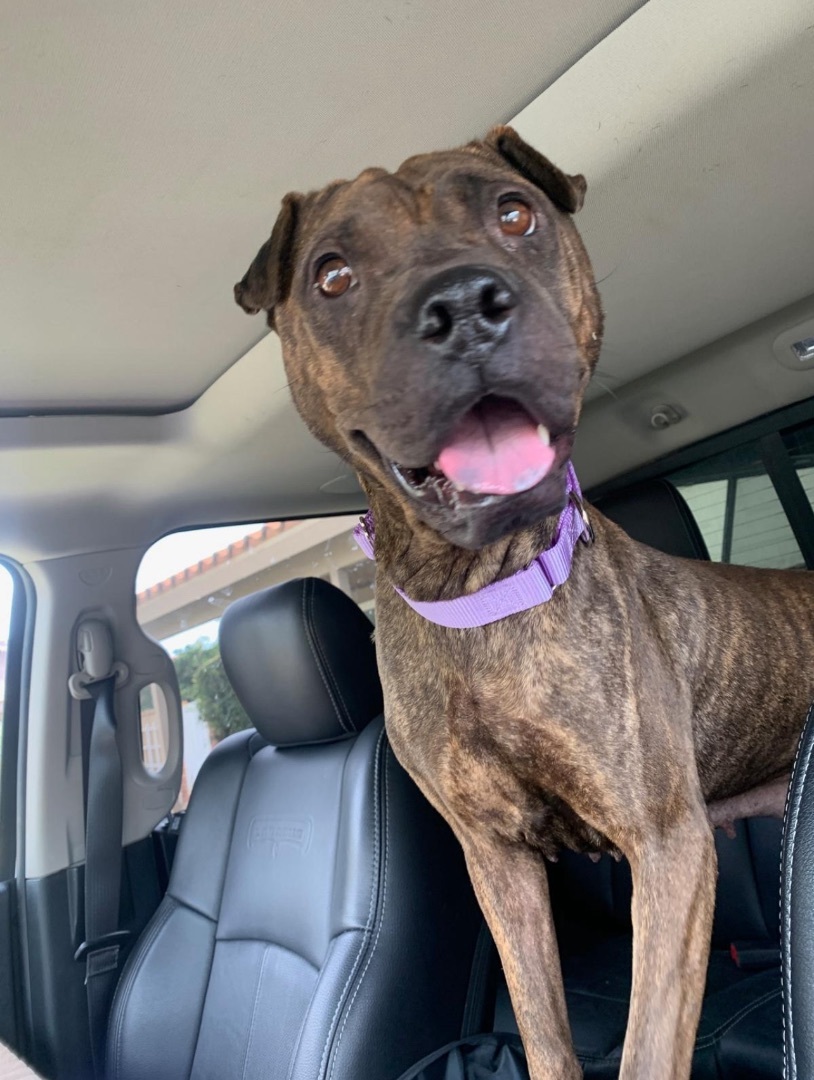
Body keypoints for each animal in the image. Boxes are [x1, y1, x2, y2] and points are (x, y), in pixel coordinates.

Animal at [233, 128, 811, 1080]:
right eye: (332, 274)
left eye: (515, 213)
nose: (464, 306)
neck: (483, 600)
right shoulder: (497, 861)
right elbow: (542, 1028)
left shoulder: (667, 845)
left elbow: (648, 1046)